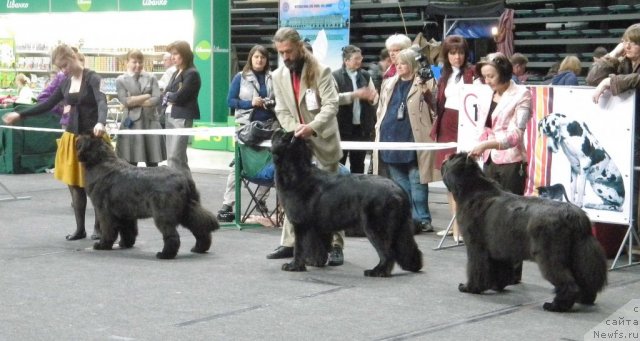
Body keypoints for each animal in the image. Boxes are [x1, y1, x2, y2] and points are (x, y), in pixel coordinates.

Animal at [75, 135, 218, 258]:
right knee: (200, 226)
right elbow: (128, 230)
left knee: (172, 235)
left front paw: (102, 245)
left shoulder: (104, 211)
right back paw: (199, 248)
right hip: (188, 209)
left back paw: (165, 255)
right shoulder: (125, 212)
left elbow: (108, 229)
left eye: (82, 139)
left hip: (163, 214)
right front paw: (125, 244)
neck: (100, 162)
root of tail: (183, 178)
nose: (76, 138)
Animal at [272, 130, 422, 276]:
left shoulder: (301, 224)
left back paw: (377, 271)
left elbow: (299, 247)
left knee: (387, 252)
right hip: (401, 227)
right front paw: (316, 262)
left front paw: (294, 266)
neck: (296, 171)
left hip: (376, 226)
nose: (276, 130)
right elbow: (318, 246)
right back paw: (413, 266)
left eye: (280, 135)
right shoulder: (318, 227)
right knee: (407, 247)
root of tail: (399, 190)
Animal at [442, 151, 608, 310]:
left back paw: (556, 306)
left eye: (450, 158)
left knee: (569, 283)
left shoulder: (476, 247)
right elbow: (501, 271)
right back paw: (584, 299)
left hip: (550, 256)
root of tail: (576, 216)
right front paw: (496, 286)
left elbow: (476, 269)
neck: (472, 190)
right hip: (578, 256)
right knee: (585, 278)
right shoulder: (501, 249)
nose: (443, 159)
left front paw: (470, 287)